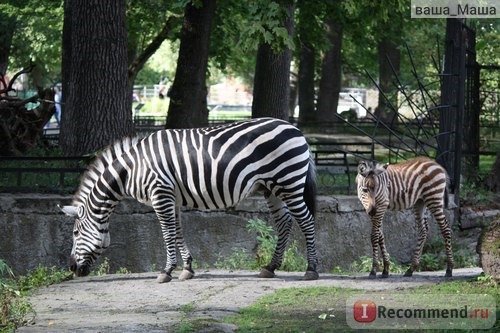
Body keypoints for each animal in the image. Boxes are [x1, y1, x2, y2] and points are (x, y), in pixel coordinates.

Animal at [61, 118, 320, 282]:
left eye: (75, 233)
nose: (71, 267)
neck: (131, 169)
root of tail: (296, 130)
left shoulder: (160, 193)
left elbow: (167, 234)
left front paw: (166, 271)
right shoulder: (172, 197)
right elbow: (177, 232)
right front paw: (187, 268)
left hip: (289, 182)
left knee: (306, 221)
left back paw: (311, 270)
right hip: (272, 187)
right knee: (285, 222)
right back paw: (270, 267)